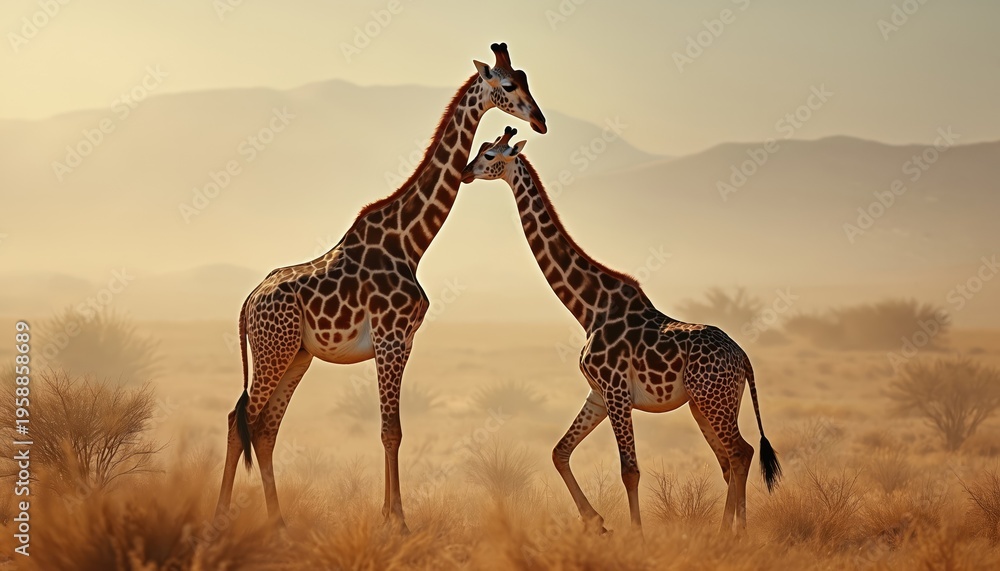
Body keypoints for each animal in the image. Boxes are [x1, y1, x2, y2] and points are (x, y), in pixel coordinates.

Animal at [215, 45, 547, 532]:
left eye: (526, 79)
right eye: (507, 85)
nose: (540, 120)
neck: (410, 241)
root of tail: (249, 301)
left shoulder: (404, 342)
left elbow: (394, 431)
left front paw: (391, 516)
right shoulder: (389, 338)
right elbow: (391, 429)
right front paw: (399, 522)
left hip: (296, 355)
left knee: (264, 427)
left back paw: (278, 523)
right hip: (274, 349)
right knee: (238, 419)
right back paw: (219, 518)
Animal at [460, 127, 782, 535]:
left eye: (491, 156)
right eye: (481, 148)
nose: (464, 172)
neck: (589, 307)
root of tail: (743, 358)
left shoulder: (616, 391)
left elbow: (629, 470)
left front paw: (636, 535)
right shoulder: (597, 393)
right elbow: (559, 451)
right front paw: (596, 522)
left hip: (712, 399)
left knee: (740, 452)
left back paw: (731, 532)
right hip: (708, 403)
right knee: (731, 459)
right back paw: (734, 530)